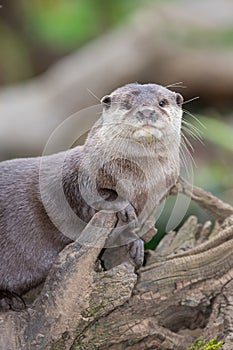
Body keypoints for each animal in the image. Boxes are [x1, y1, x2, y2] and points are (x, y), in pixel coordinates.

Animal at [0, 82, 183, 306]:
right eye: (127, 104)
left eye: (162, 102)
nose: (147, 111)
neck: (138, 181)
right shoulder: (78, 176)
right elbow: (90, 198)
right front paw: (123, 206)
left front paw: (136, 243)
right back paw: (9, 299)